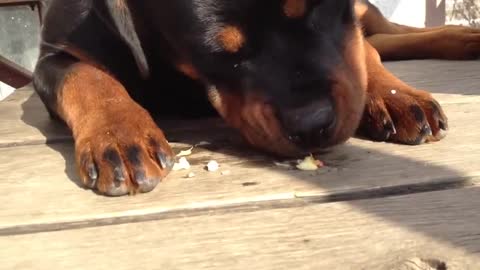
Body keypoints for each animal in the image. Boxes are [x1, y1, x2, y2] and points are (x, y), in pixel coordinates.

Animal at [33, 0, 480, 195]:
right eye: (217, 54)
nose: (312, 123)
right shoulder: (53, 56)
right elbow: (87, 77)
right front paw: (118, 135)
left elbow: (357, 52)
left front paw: (391, 94)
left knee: (382, 35)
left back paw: (458, 41)